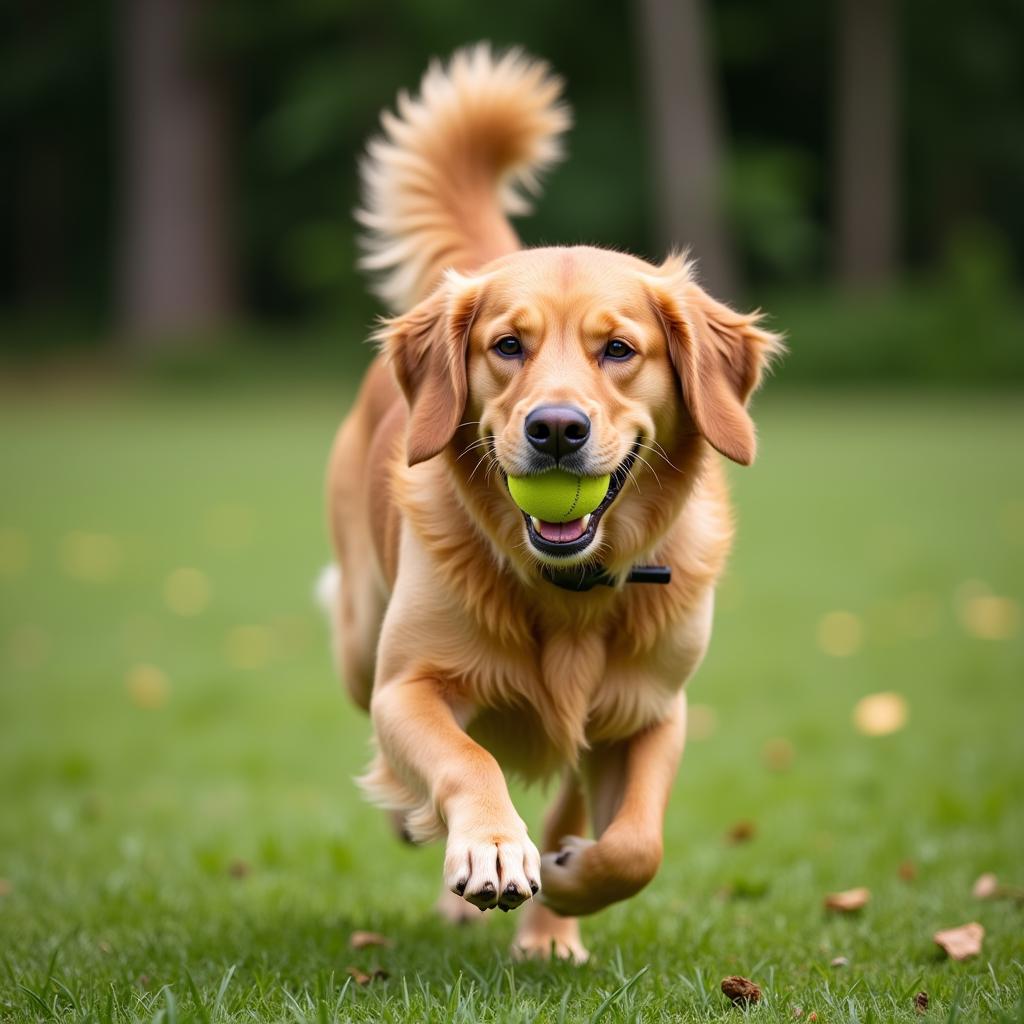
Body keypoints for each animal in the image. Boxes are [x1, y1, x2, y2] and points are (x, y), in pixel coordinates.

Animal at [323, 46, 778, 958]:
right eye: (507, 345)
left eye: (619, 350)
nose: (557, 430)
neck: (568, 589)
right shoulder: (406, 686)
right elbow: (465, 762)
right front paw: (496, 850)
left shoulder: (651, 712)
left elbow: (634, 844)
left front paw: (565, 886)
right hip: (358, 636)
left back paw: (545, 924)